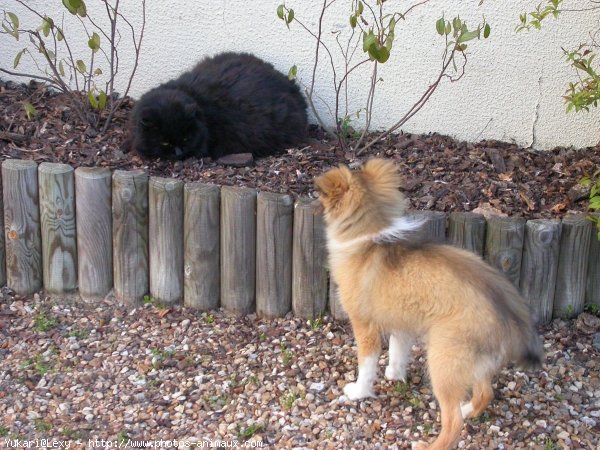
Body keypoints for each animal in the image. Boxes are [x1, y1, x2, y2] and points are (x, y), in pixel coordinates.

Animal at [314, 159, 544, 450]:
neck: (369, 235)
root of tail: (510, 314)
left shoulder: (365, 326)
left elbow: (366, 365)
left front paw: (358, 392)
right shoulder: (402, 322)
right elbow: (398, 351)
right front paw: (394, 374)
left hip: (443, 361)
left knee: (453, 422)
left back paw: (430, 443)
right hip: (473, 361)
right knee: (484, 393)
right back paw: (468, 409)